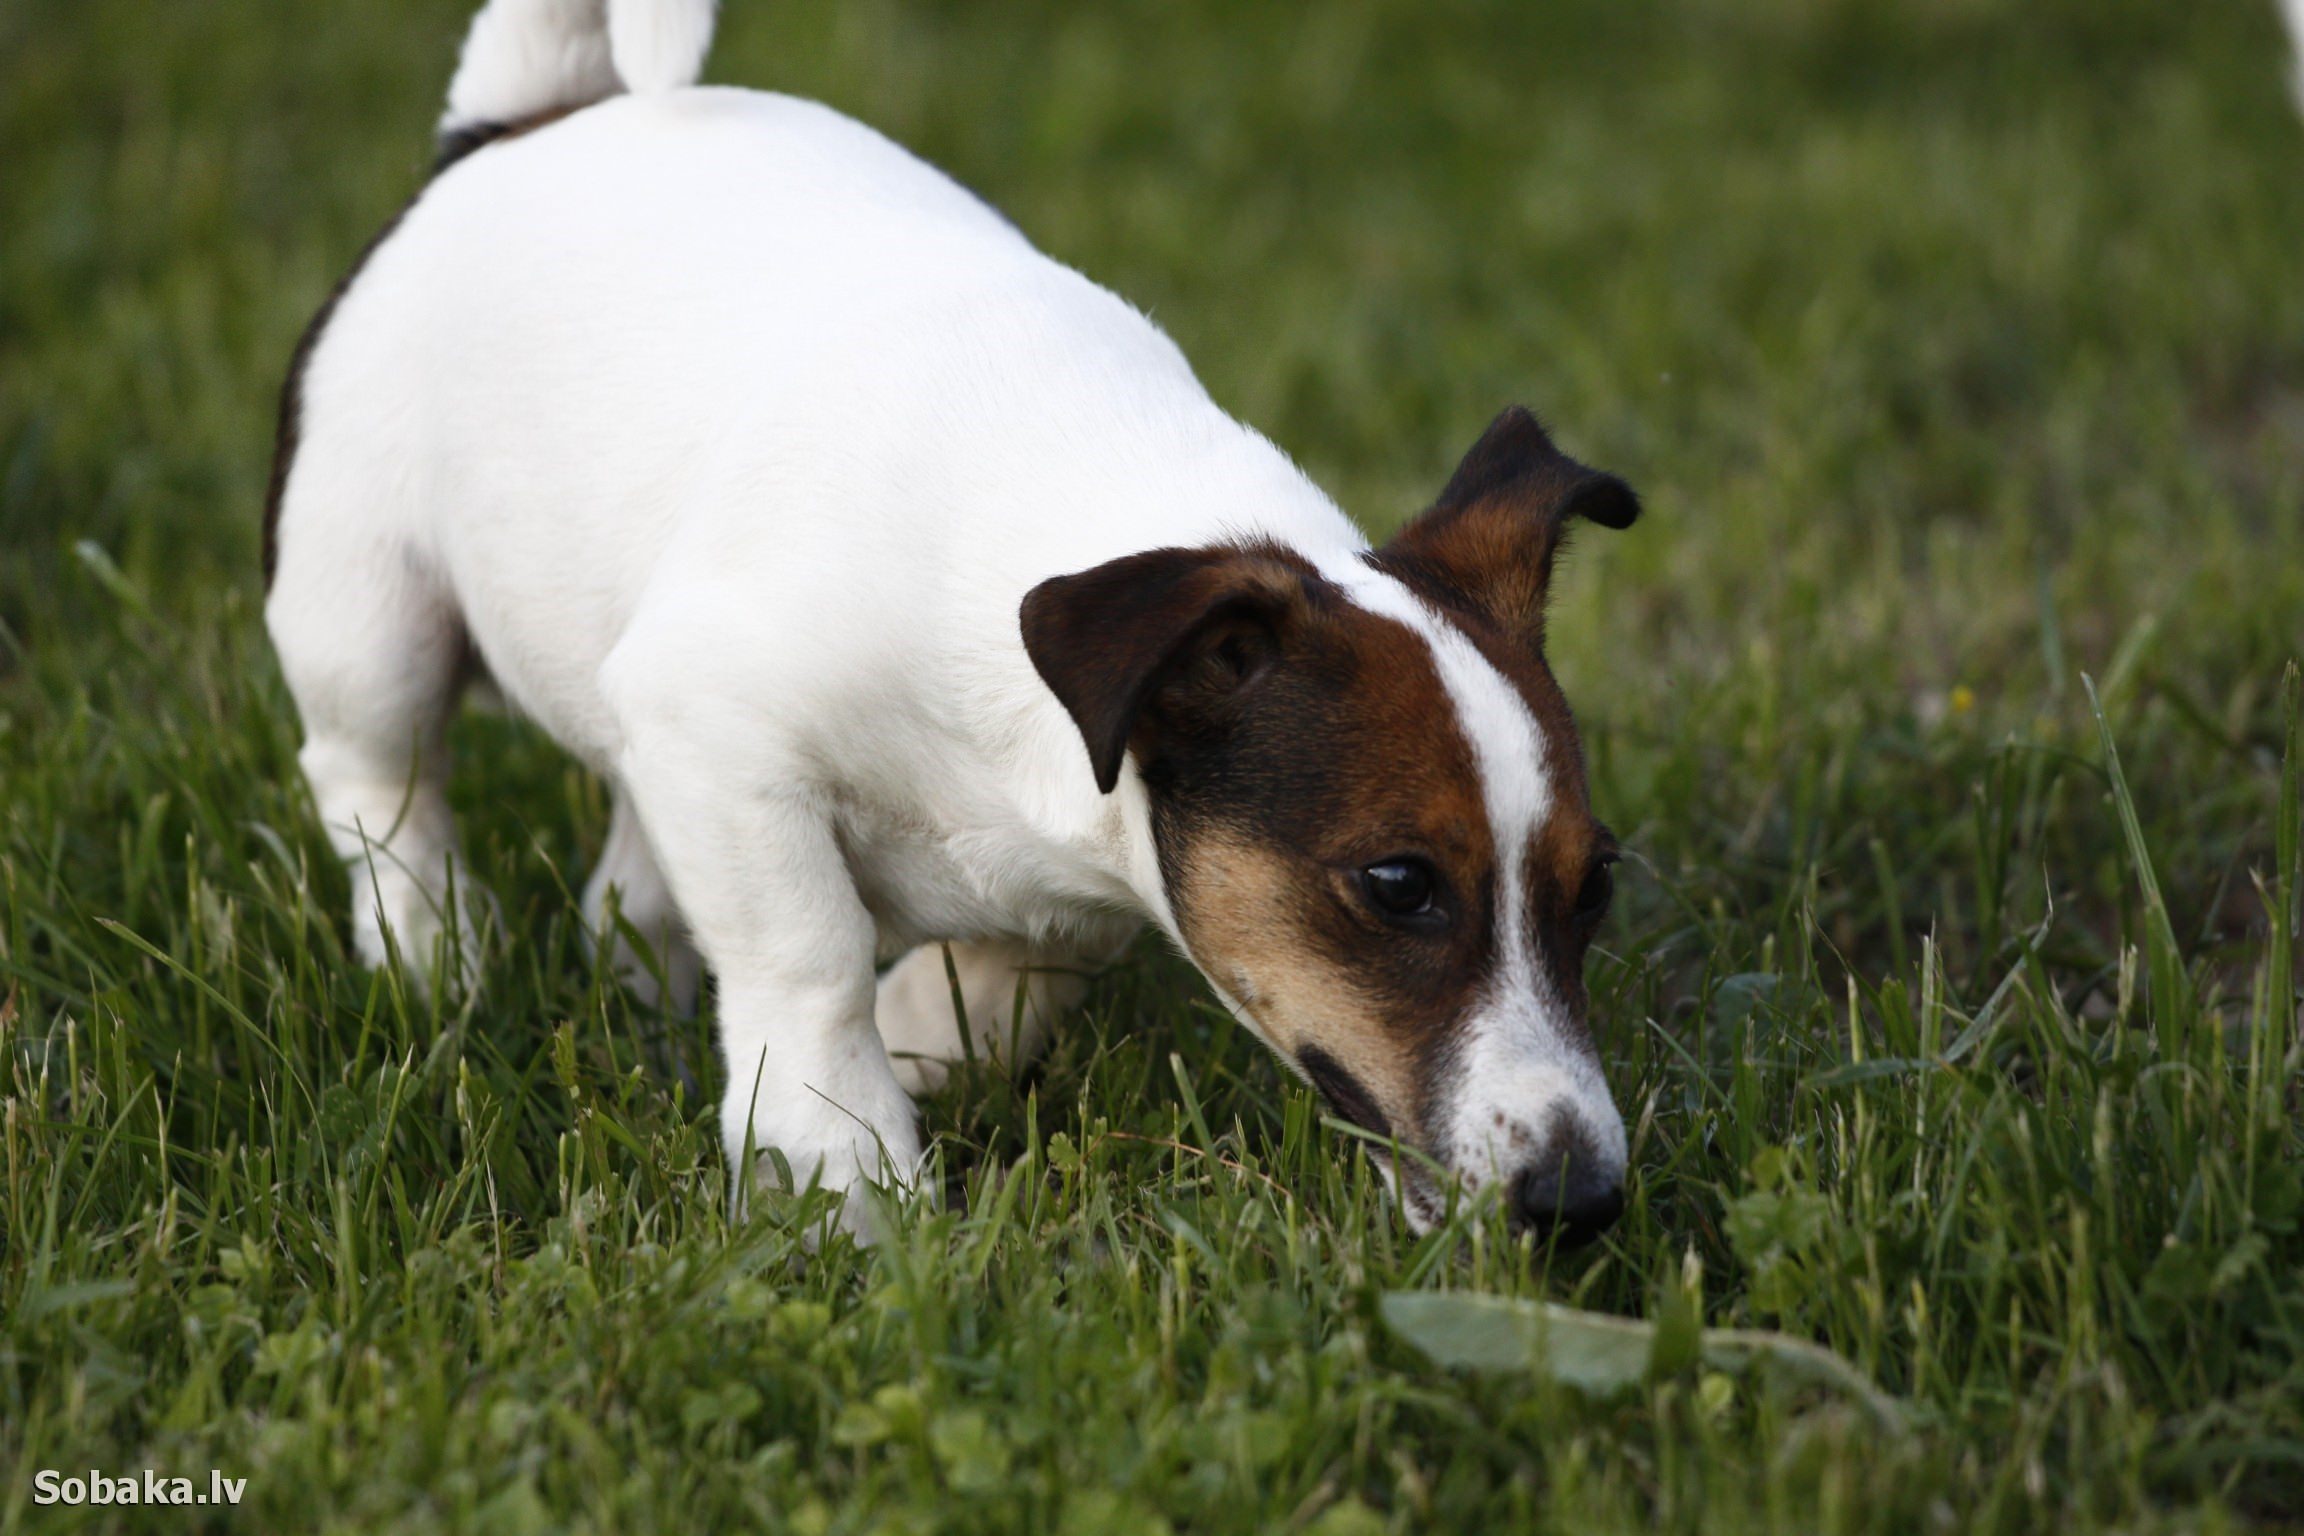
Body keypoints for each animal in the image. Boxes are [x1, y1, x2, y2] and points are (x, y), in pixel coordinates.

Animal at [264, 0, 1640, 1252]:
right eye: (1398, 885)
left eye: (1598, 887)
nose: (1581, 1204)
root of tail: (521, 125)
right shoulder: (716, 721)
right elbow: (811, 959)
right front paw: (848, 1174)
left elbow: (1009, 971)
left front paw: (910, 1061)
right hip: (365, 605)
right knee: (375, 776)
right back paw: (432, 952)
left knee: (624, 889)